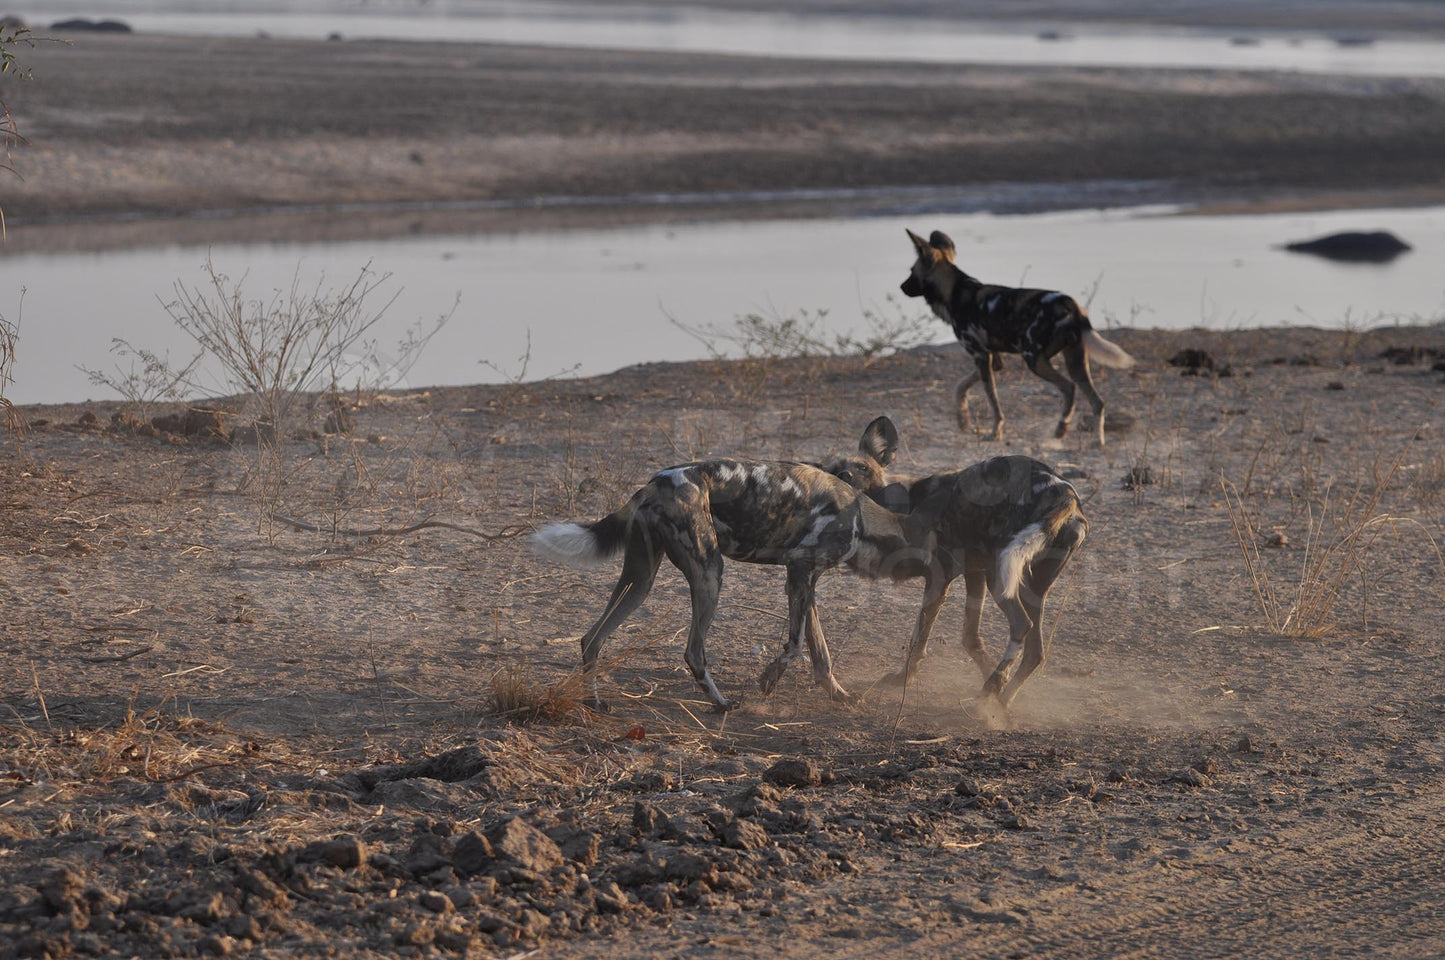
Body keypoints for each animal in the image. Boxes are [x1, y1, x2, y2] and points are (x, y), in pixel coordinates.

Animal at [531, 419, 913, 711]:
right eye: (847, 469)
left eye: (863, 468)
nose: (846, 474)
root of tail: (654, 484)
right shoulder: (799, 570)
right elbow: (795, 644)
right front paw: (768, 680)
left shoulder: (804, 584)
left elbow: (820, 653)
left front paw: (839, 695)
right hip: (709, 573)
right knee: (693, 652)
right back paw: (721, 704)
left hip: (639, 581)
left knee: (592, 638)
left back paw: (594, 701)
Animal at [826, 416, 1086, 708]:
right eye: (834, 470)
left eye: (863, 468)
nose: (844, 477)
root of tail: (1065, 494)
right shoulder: (974, 573)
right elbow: (969, 638)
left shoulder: (939, 579)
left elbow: (918, 641)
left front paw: (904, 679)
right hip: (1029, 586)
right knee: (1035, 652)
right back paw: (1002, 700)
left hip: (1000, 580)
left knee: (1022, 625)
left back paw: (993, 686)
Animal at [895, 228, 1132, 445]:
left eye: (911, 271)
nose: (902, 287)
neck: (954, 291)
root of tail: (1071, 305)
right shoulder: (992, 358)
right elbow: (961, 386)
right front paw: (962, 419)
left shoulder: (981, 356)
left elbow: (992, 400)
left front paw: (994, 432)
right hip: (1075, 361)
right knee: (1098, 402)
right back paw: (1097, 442)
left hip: (1033, 359)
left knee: (1068, 387)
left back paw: (1060, 429)